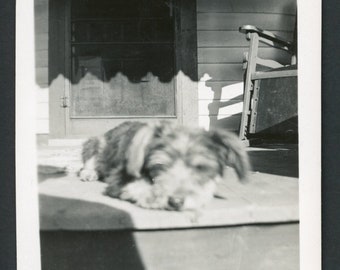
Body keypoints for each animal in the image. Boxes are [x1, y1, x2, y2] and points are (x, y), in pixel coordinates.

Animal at [79, 121, 250, 212]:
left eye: (200, 168)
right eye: (160, 166)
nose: (176, 202)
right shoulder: (118, 177)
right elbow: (136, 185)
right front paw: (152, 196)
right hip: (97, 142)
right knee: (90, 158)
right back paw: (89, 173)